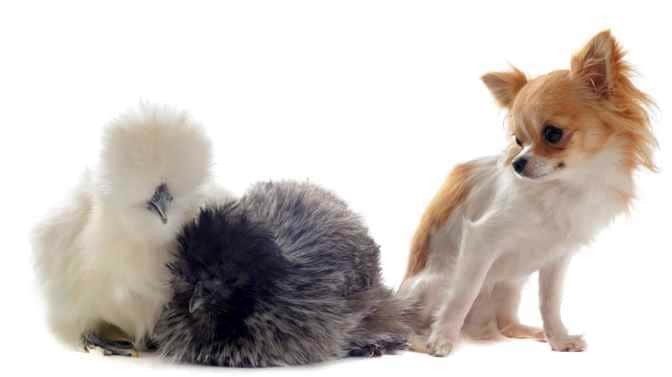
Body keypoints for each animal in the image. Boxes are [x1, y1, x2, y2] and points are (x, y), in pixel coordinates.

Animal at [400, 30, 656, 356]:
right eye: (518, 140)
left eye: (553, 134)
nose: (517, 163)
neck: (565, 185)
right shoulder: (481, 240)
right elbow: (462, 295)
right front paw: (441, 340)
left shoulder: (557, 256)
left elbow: (550, 302)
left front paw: (559, 339)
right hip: (440, 284)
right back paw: (420, 338)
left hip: (509, 286)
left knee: (506, 324)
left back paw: (532, 333)